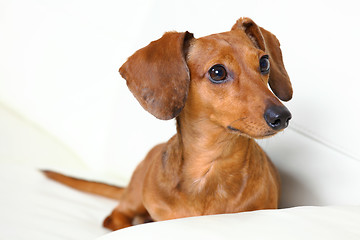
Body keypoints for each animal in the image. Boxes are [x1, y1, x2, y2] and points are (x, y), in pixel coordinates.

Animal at [45, 16, 292, 231]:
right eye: (217, 72)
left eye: (264, 62)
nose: (282, 116)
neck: (211, 168)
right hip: (134, 197)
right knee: (114, 216)